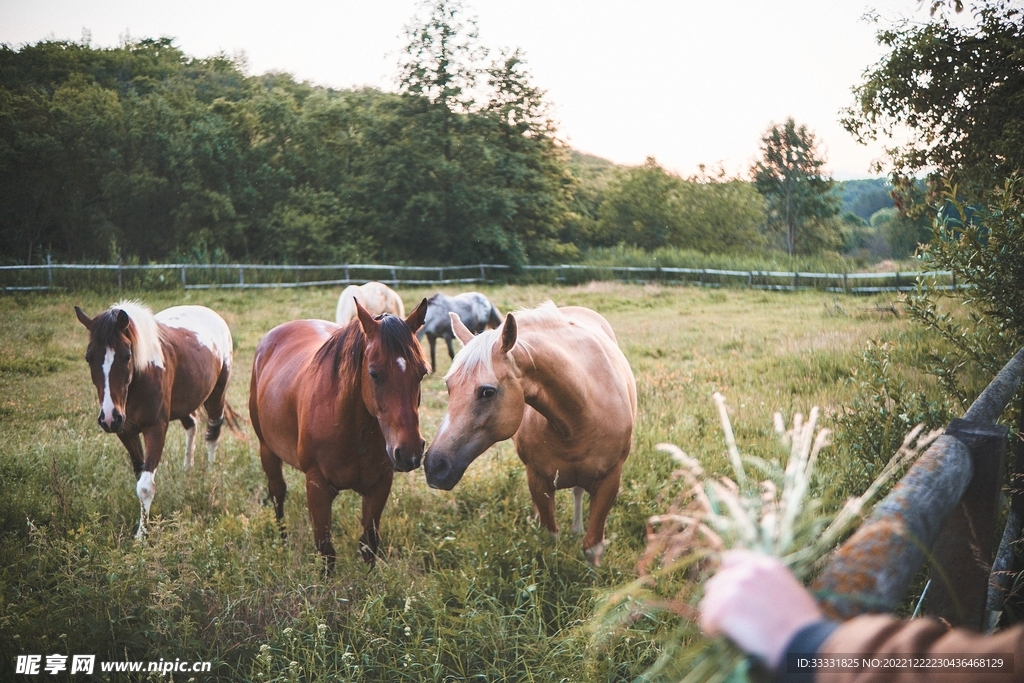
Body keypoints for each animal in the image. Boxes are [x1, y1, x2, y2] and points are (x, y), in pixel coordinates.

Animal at [75, 301, 237, 539]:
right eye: (89, 358)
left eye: (127, 356)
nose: (109, 417)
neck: (140, 379)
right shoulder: (126, 431)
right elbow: (140, 474)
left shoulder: (156, 428)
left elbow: (145, 486)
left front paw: (141, 536)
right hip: (184, 401)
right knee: (192, 426)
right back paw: (187, 469)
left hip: (216, 395)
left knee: (212, 433)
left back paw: (209, 474)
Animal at [249, 298, 429, 570]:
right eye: (374, 373)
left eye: (423, 372)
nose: (409, 453)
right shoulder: (317, 487)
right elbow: (326, 552)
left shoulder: (380, 485)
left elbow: (369, 545)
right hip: (267, 450)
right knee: (277, 493)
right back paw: (282, 543)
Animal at [423, 302, 636, 566]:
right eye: (449, 386)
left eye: (487, 392)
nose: (434, 466)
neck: (580, 415)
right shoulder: (538, 479)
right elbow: (550, 537)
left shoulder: (610, 480)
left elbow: (592, 547)